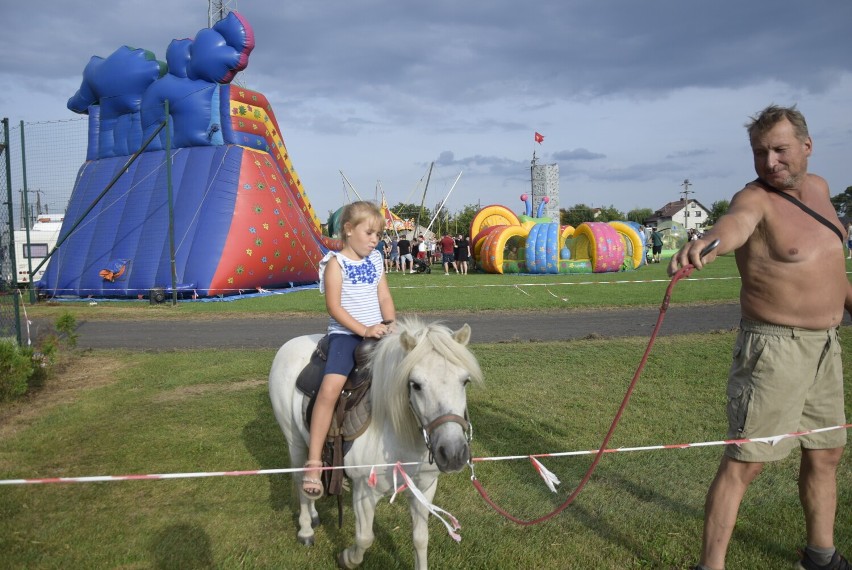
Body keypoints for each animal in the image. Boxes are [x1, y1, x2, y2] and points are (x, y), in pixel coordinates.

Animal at [270, 318, 482, 564]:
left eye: (465, 381)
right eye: (415, 384)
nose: (453, 453)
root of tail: (289, 344)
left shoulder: (425, 488)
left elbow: (420, 539)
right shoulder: (364, 493)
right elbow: (365, 538)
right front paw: (347, 558)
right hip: (295, 442)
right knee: (300, 478)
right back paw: (306, 528)